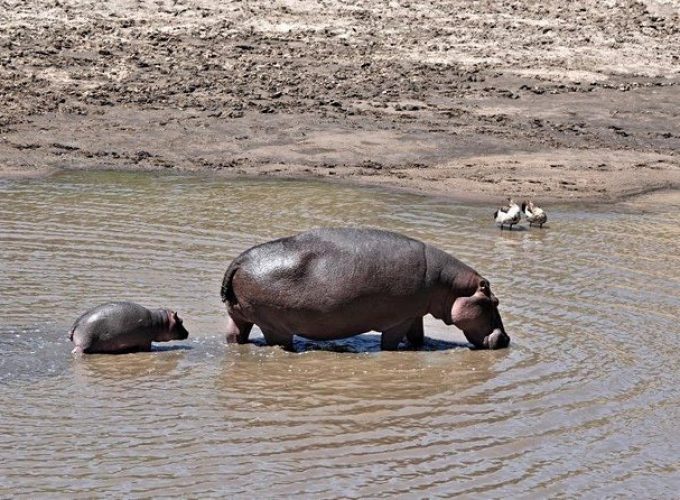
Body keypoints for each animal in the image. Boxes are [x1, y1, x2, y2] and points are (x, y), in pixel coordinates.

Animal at [220, 229, 508, 350]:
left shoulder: (414, 313)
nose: (505, 339)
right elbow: (391, 343)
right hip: (274, 326)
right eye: (494, 302)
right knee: (278, 342)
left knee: (235, 335)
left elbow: (418, 336)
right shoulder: (399, 320)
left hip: (238, 315)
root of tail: (239, 261)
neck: (448, 286)